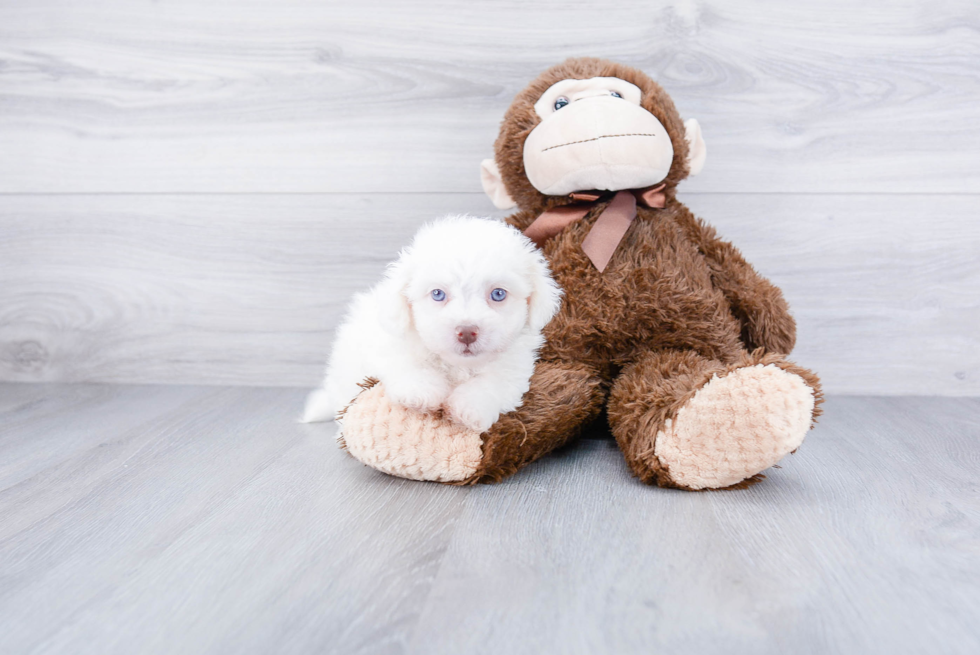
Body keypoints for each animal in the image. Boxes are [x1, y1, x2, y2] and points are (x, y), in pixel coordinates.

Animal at [302, 214, 564, 430]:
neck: (457, 365)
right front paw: (421, 392)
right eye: (438, 294)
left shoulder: (513, 366)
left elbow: (492, 383)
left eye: (498, 294)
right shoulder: (389, 341)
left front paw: (468, 409)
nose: (467, 332)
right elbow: (406, 361)